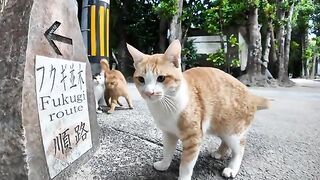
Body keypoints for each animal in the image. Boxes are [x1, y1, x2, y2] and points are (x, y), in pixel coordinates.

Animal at [126, 40, 268, 179]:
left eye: (161, 78)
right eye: (141, 79)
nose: (148, 93)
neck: (165, 105)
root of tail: (251, 95)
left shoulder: (193, 138)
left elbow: (186, 165)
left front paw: (183, 177)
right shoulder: (168, 134)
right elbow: (167, 151)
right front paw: (163, 165)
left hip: (233, 132)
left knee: (240, 148)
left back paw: (232, 168)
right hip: (221, 127)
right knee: (225, 141)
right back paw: (219, 153)